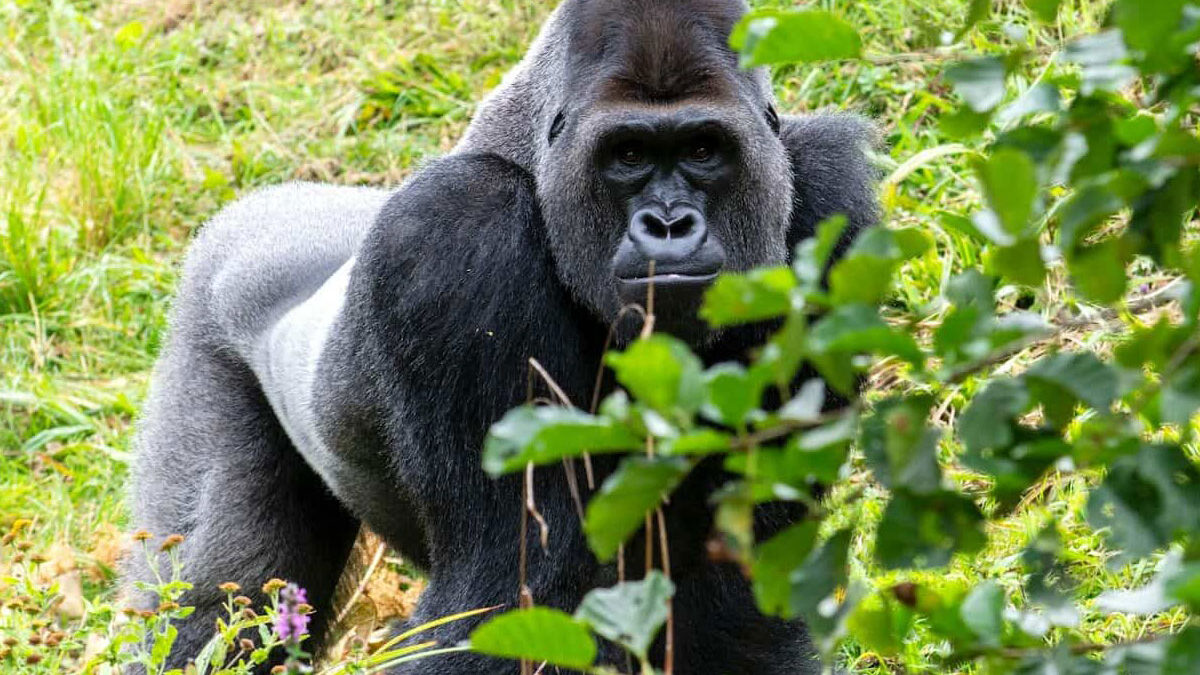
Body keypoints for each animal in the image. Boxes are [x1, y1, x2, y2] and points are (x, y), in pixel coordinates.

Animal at [125, 1, 878, 673]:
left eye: (702, 149)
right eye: (629, 154)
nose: (669, 223)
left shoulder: (828, 201)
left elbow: (744, 580)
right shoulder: (455, 232)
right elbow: (510, 594)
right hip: (206, 311)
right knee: (214, 601)